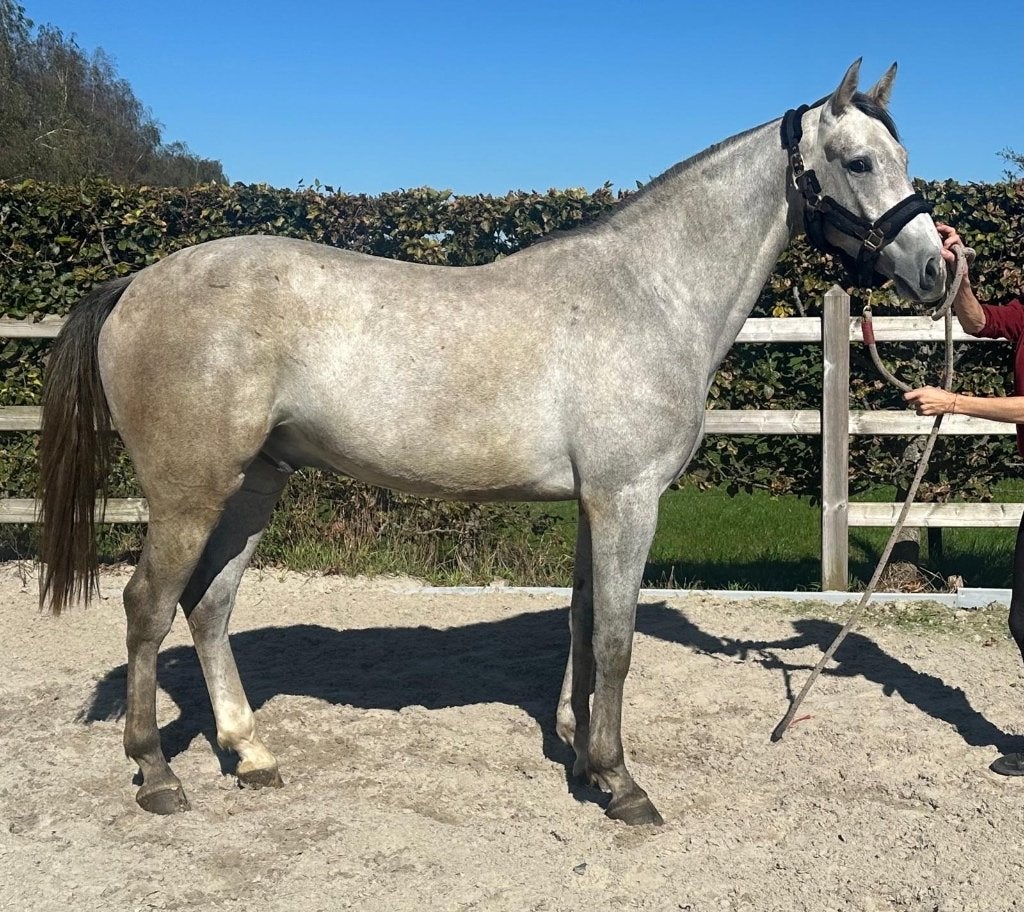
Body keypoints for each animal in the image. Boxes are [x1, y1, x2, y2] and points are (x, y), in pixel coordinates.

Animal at [38, 60, 946, 826]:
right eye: (859, 162)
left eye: (905, 155)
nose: (938, 271)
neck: (648, 294)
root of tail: (137, 283)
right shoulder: (627, 501)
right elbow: (614, 643)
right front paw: (622, 785)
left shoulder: (593, 503)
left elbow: (581, 626)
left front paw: (582, 757)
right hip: (189, 491)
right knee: (148, 607)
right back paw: (157, 774)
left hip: (254, 483)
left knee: (210, 607)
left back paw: (250, 754)